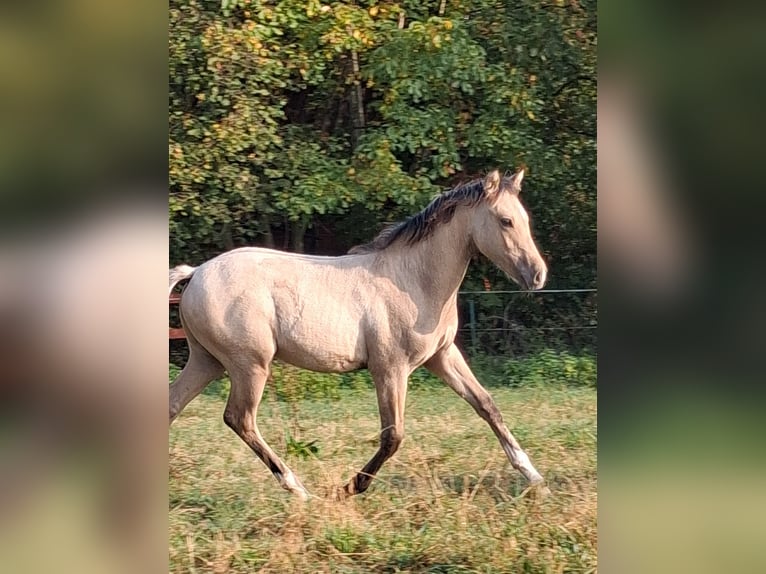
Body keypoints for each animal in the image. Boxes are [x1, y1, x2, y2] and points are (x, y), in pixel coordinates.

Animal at [169, 169, 548, 500]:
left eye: (525, 220)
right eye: (506, 221)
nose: (538, 275)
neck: (413, 279)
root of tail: (197, 272)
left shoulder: (442, 356)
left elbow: (487, 405)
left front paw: (535, 479)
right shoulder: (390, 369)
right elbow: (393, 435)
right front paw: (350, 488)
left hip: (207, 362)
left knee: (173, 406)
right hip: (249, 365)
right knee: (240, 418)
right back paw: (299, 489)